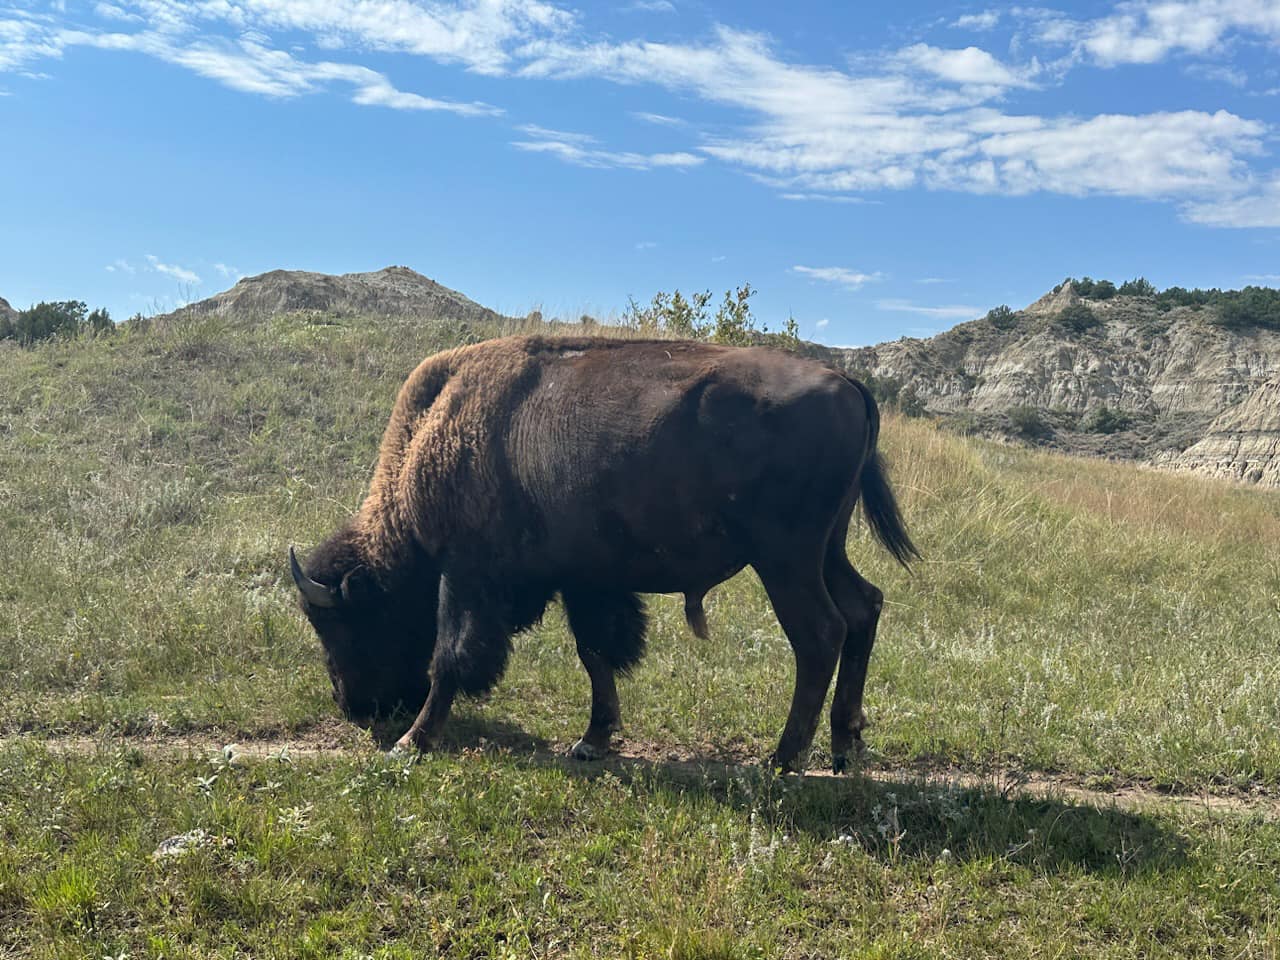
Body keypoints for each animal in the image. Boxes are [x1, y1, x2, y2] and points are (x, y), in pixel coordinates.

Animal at [289, 337, 916, 773]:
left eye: (346, 624)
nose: (353, 706)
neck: (440, 427)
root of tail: (848, 382)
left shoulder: (465, 575)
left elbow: (451, 657)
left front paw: (410, 742)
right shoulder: (582, 580)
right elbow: (596, 653)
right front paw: (591, 741)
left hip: (785, 559)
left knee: (820, 634)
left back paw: (783, 760)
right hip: (826, 550)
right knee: (864, 607)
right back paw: (845, 745)